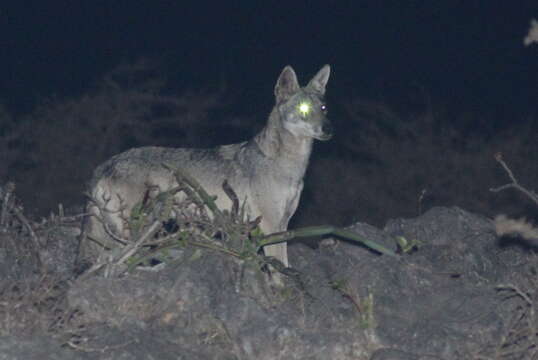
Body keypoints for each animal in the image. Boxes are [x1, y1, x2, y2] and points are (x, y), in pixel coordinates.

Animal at [79, 64, 330, 272]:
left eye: (323, 108)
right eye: (304, 109)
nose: (329, 129)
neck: (287, 165)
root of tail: (104, 165)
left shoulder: (284, 224)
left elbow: (285, 263)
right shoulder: (270, 226)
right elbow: (278, 269)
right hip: (132, 231)